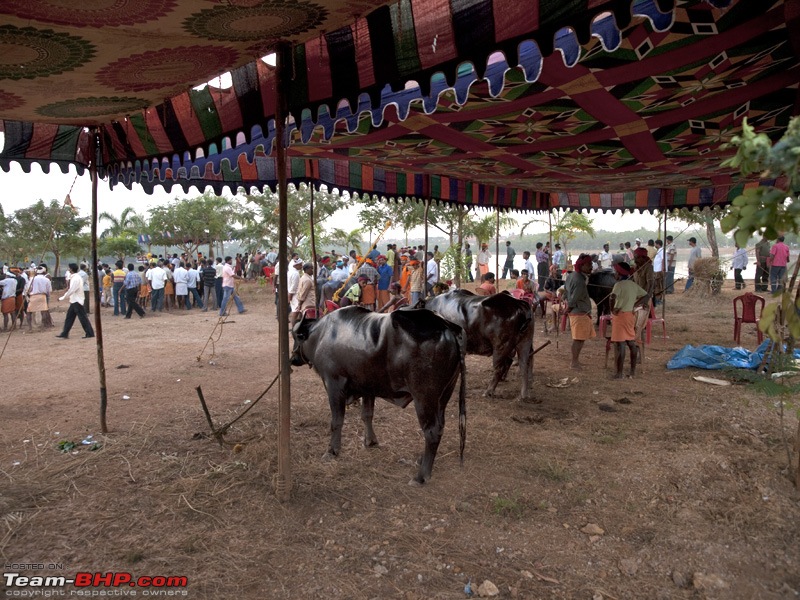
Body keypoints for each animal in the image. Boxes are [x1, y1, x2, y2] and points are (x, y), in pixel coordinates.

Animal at [290, 308, 466, 486]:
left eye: (296, 336)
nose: (292, 359)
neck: (320, 335)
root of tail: (446, 325)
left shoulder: (333, 385)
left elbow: (336, 421)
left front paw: (332, 450)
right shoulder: (368, 388)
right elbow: (367, 415)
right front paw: (370, 441)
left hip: (424, 399)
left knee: (431, 431)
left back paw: (421, 476)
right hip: (443, 397)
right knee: (440, 427)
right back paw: (422, 460)